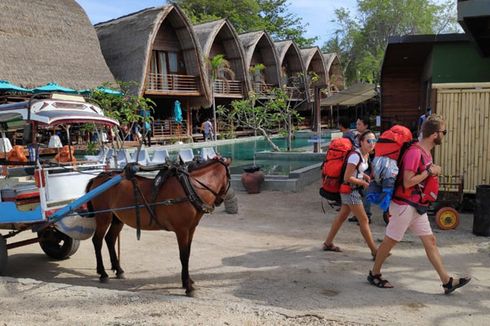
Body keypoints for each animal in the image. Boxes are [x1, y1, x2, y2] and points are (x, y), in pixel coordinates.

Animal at [86, 157, 232, 296]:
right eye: (229, 180)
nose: (220, 201)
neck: (190, 188)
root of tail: (98, 178)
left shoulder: (191, 229)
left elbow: (188, 254)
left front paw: (188, 281)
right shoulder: (182, 230)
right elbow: (183, 256)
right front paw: (188, 287)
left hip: (117, 219)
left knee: (110, 239)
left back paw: (118, 270)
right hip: (103, 217)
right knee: (97, 241)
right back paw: (103, 273)